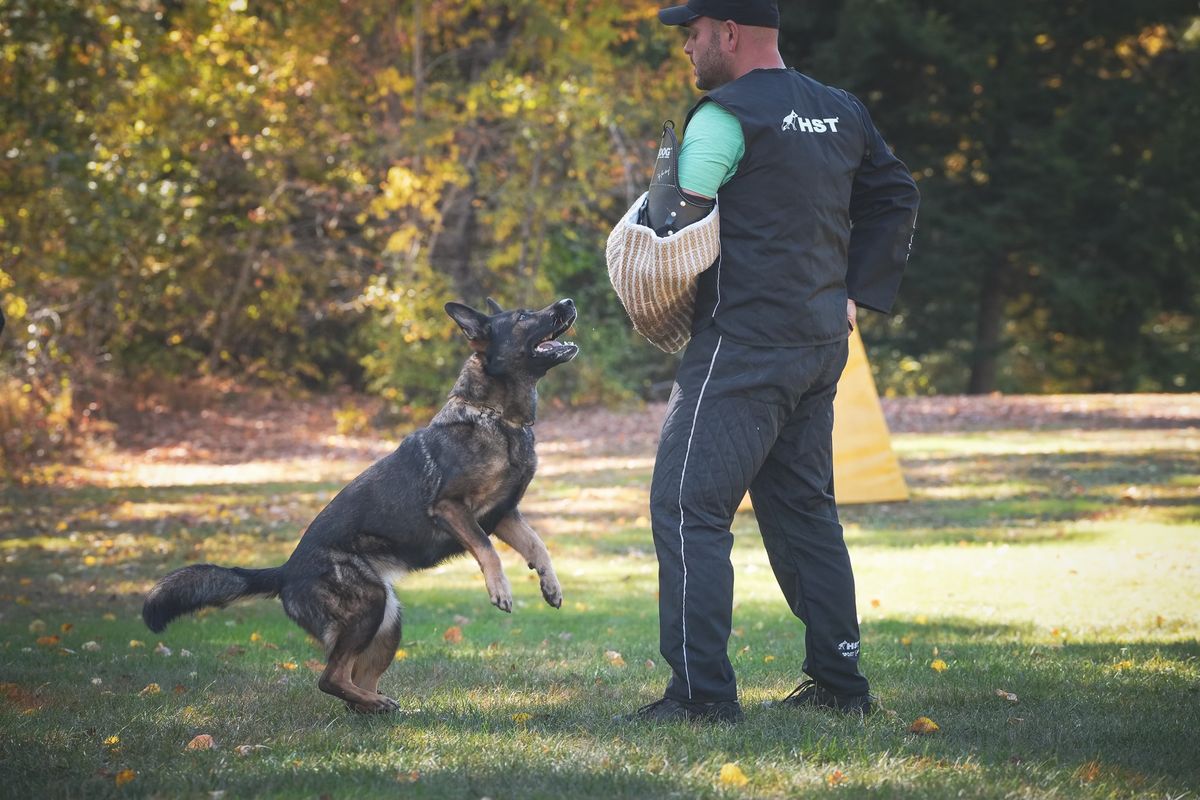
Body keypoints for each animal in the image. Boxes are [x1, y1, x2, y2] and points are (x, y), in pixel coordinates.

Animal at [140, 297, 580, 710]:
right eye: (523, 316)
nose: (568, 303)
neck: (497, 417)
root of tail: (285, 572)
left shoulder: (504, 515)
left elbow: (537, 545)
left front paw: (551, 584)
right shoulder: (453, 508)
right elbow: (488, 550)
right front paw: (500, 589)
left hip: (387, 620)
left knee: (352, 679)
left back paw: (377, 706)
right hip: (370, 606)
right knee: (330, 677)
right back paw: (375, 703)